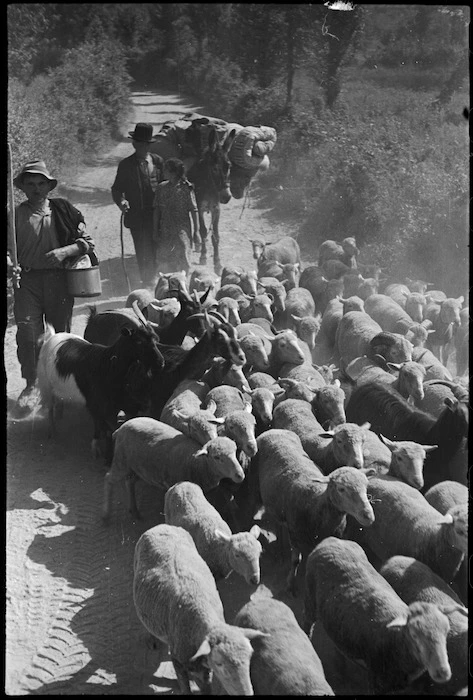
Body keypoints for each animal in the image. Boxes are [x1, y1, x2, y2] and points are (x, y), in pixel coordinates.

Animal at [102, 416, 245, 520]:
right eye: (216, 457)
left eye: (235, 451)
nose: (240, 475)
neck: (196, 463)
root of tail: (121, 428)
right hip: (121, 461)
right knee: (109, 479)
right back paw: (106, 515)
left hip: (136, 466)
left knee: (129, 482)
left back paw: (134, 511)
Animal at [133, 524, 266, 696]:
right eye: (219, 663)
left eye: (250, 658)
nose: (247, 694)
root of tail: (162, 526)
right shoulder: (178, 662)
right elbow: (185, 687)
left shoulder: (204, 669)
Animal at [302, 536, 458, 696]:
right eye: (414, 635)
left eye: (446, 632)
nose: (442, 672)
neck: (396, 639)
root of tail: (331, 540)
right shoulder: (375, 681)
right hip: (309, 599)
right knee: (307, 624)